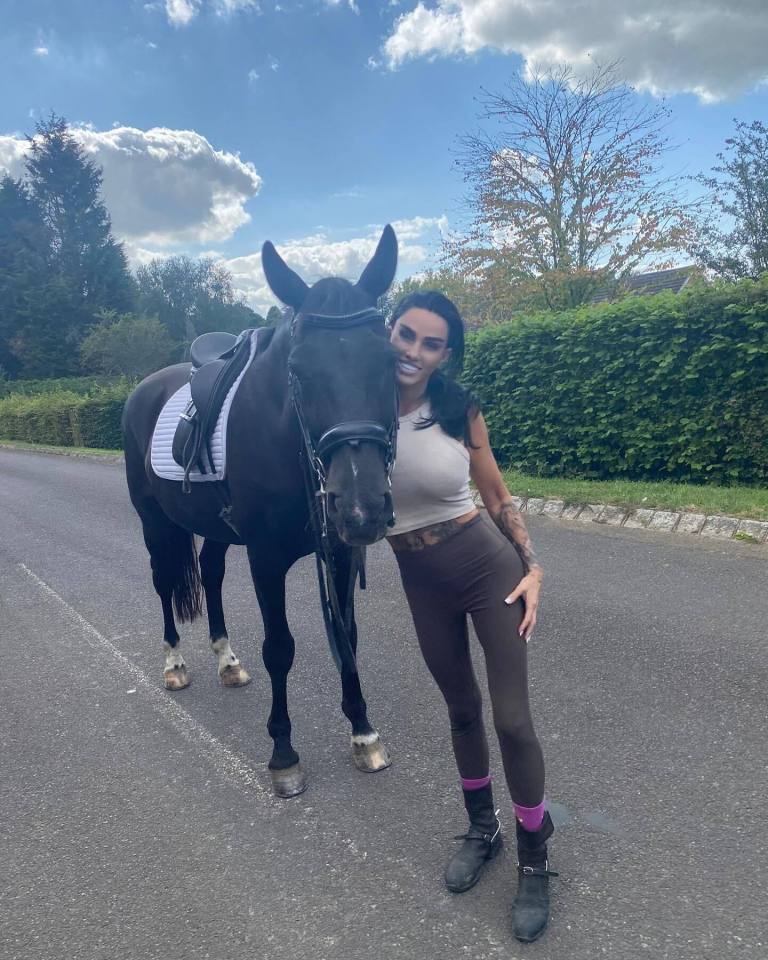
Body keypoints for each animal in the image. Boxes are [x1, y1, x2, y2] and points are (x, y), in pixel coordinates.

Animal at [123, 225, 400, 796]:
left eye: (388, 360)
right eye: (297, 371)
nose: (361, 507)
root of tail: (142, 389)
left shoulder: (339, 552)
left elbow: (347, 635)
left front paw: (363, 732)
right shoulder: (266, 558)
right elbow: (281, 647)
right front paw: (283, 753)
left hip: (216, 529)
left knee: (210, 572)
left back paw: (226, 660)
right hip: (153, 521)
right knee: (163, 581)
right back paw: (174, 663)